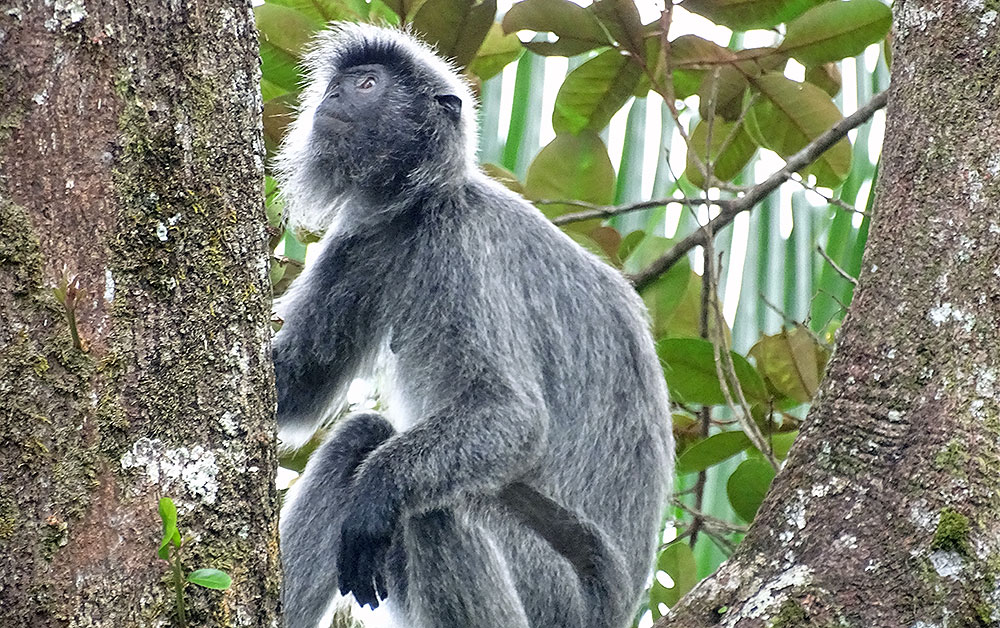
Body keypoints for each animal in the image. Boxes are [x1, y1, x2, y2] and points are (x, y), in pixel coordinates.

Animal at [272, 23, 672, 628]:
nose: (332, 97)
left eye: (367, 84)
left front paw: (376, 494)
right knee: (359, 439)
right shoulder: (365, 239)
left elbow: (513, 415)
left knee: (431, 507)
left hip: (552, 591)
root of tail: (619, 604)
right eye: (340, 85)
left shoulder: (464, 247)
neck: (422, 207)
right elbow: (294, 391)